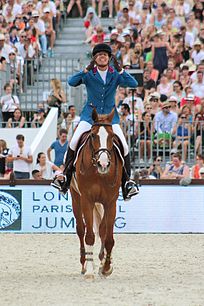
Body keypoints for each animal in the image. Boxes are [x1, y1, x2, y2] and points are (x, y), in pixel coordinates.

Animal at [70, 109, 122, 278]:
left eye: (112, 136)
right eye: (93, 136)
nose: (103, 164)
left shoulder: (110, 202)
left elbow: (108, 236)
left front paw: (106, 266)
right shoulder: (87, 200)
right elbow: (90, 236)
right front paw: (90, 271)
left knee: (101, 229)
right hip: (76, 198)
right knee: (81, 229)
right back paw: (84, 264)